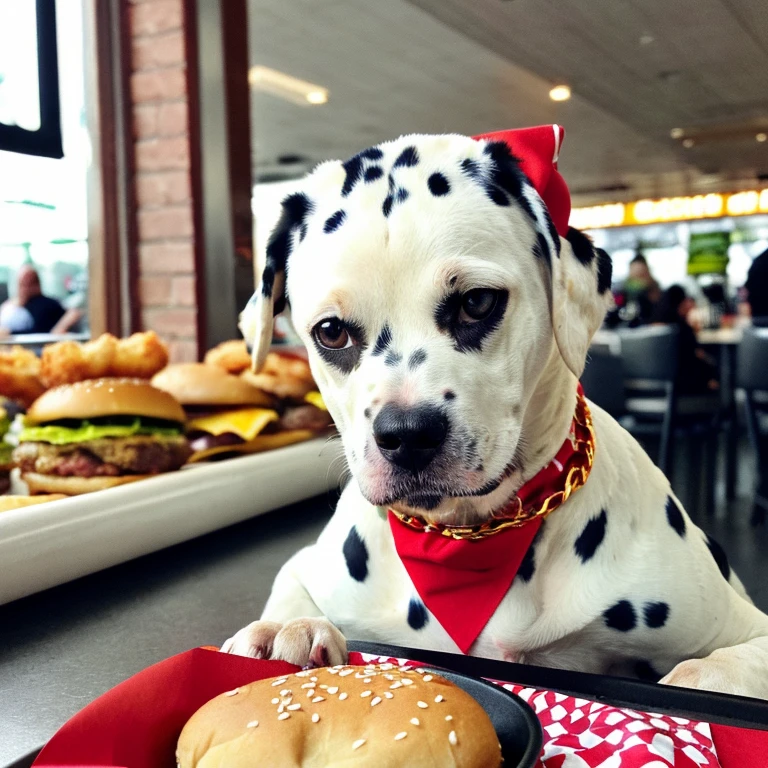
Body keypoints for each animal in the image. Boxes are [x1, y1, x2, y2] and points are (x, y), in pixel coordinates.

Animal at [224, 132, 768, 704]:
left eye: (477, 302)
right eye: (331, 331)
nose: (407, 436)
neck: (471, 543)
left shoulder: (745, 626)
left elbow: (724, 664)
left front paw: (699, 679)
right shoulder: (305, 570)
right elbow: (290, 595)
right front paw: (286, 629)